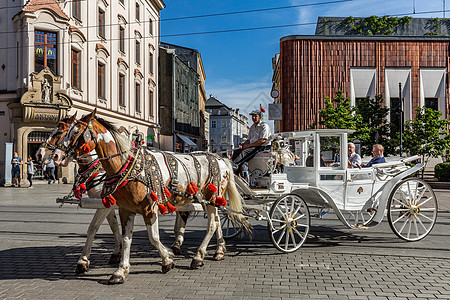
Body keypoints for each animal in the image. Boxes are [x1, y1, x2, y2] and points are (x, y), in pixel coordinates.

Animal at [52, 110, 251, 284]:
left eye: (74, 132)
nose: (56, 156)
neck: (125, 166)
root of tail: (221, 159)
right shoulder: (124, 209)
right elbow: (124, 237)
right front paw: (120, 270)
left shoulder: (148, 208)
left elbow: (152, 237)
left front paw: (167, 260)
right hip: (210, 201)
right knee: (216, 221)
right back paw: (218, 251)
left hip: (212, 198)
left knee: (211, 225)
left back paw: (197, 257)